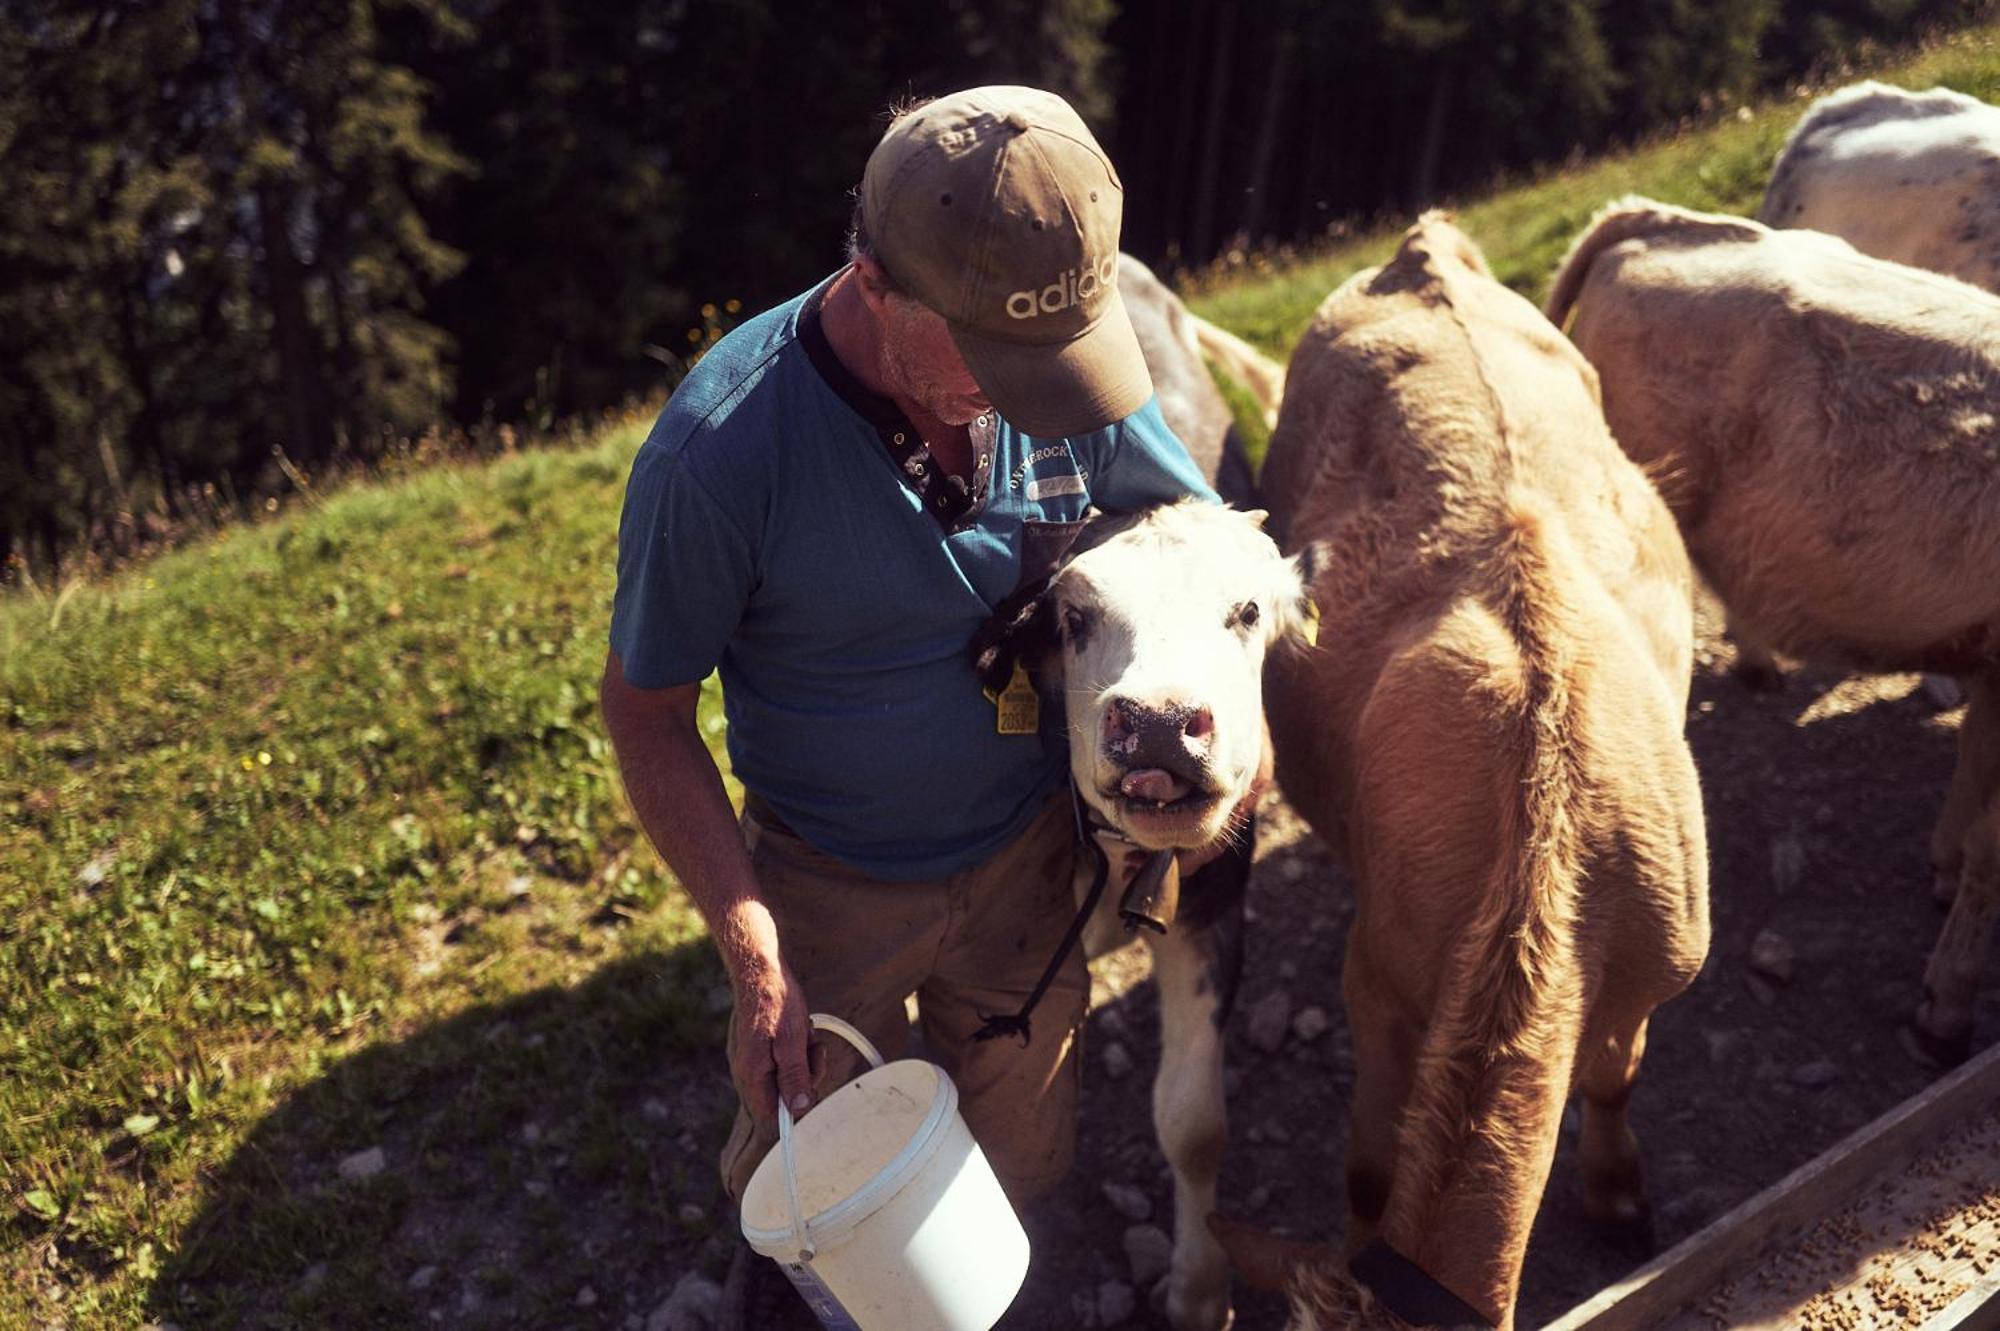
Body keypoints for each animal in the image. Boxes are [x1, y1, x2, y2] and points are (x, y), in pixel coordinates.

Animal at [968, 261, 1296, 1327]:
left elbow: (1193, 1121)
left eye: (1247, 609)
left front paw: (1198, 1287)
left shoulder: (1215, 906)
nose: (1156, 724)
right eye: (1074, 617)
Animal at [1224, 217, 1712, 1327]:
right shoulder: (1378, 982)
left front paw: (1619, 1196)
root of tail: (1425, 245)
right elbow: (1367, 1169)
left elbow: (1615, 1076)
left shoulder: (1654, 973)